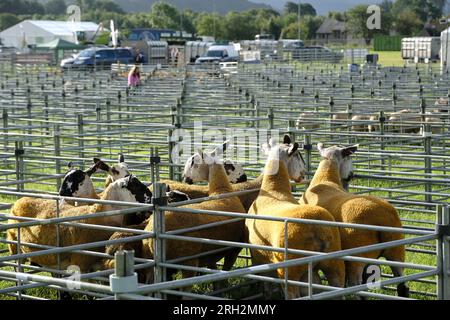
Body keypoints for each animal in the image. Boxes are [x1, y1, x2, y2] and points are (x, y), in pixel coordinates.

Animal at [7, 175, 153, 272]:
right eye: (136, 186)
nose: (152, 199)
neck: (97, 214)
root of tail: (20, 199)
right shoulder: (80, 265)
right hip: (14, 249)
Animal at [246, 136, 344, 300]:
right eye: (298, 155)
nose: (303, 173)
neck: (276, 191)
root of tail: (316, 227)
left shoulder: (258, 257)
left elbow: (267, 287)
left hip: (290, 270)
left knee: (292, 293)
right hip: (333, 263)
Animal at [300, 143, 410, 298]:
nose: (352, 174)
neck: (326, 178)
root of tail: (382, 218)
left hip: (357, 256)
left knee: (356, 286)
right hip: (396, 249)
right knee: (402, 285)